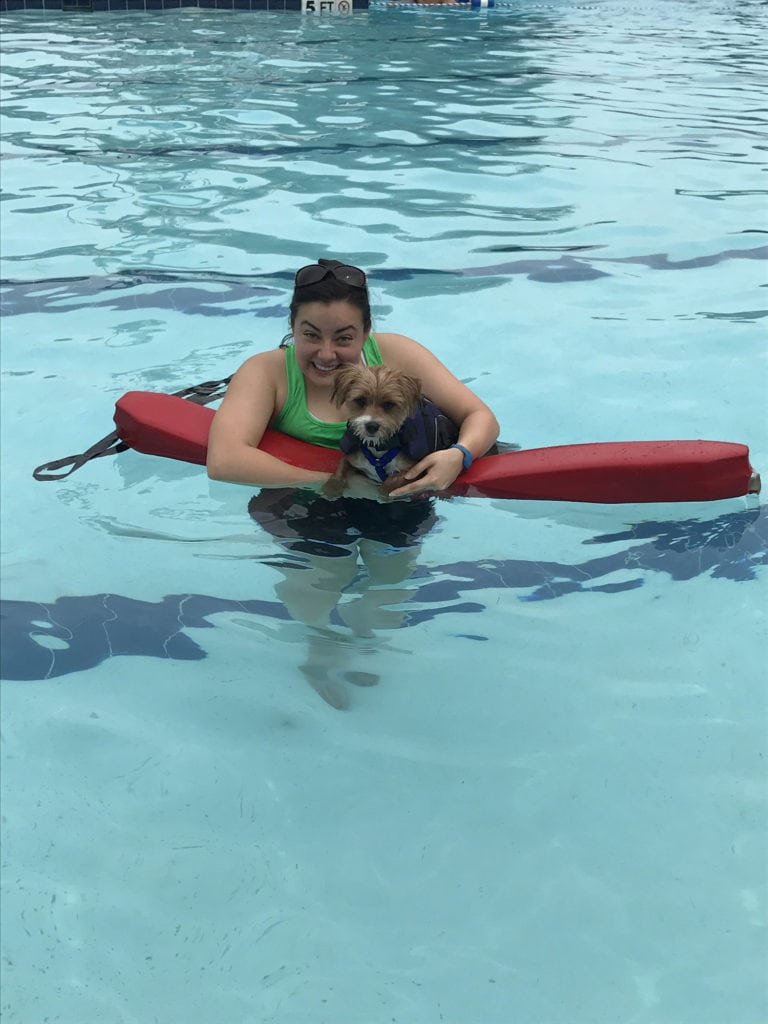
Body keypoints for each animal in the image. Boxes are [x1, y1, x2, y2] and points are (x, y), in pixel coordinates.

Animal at [323, 364, 460, 499]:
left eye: (389, 404)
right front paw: (331, 487)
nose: (371, 426)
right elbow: (340, 469)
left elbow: (394, 481)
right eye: (361, 400)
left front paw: (384, 493)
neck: (379, 449)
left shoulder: (416, 470)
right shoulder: (351, 457)